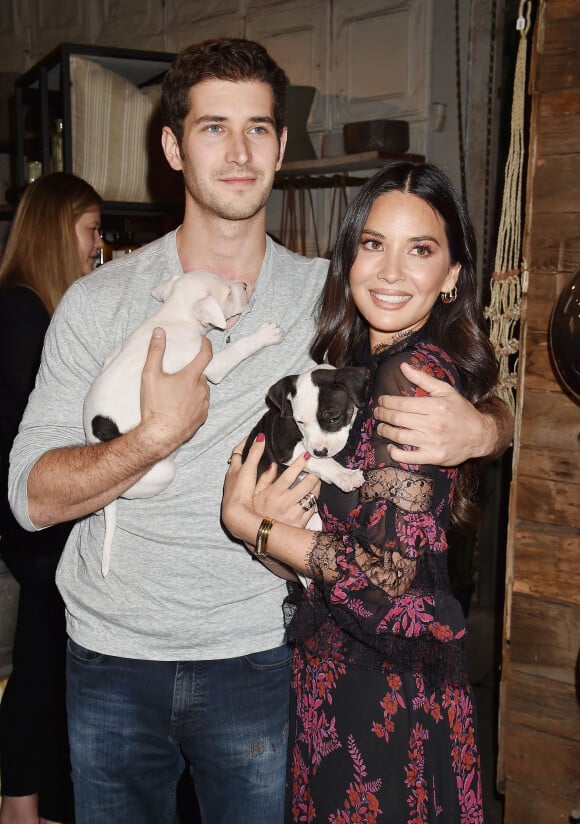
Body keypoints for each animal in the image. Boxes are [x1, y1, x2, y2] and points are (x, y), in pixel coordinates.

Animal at [85, 268, 284, 576]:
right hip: (163, 472)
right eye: (228, 293)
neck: (175, 315)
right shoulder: (212, 365)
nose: (244, 285)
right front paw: (265, 335)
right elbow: (238, 347)